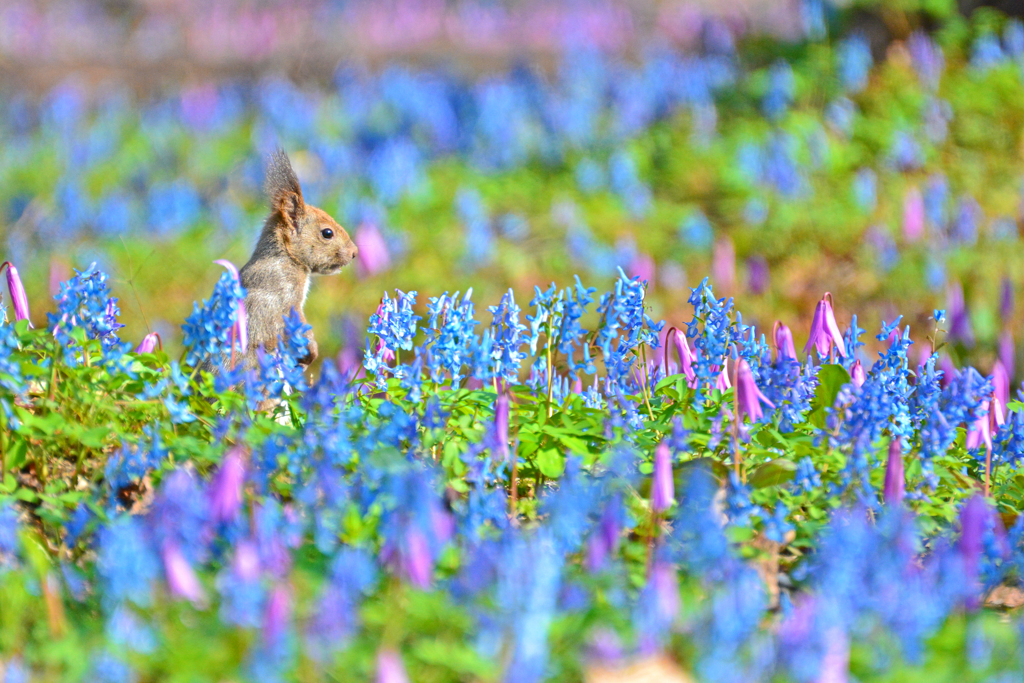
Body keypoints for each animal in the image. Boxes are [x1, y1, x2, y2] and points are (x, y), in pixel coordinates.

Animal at [238, 150, 358, 374]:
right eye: (327, 233)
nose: (355, 253)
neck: (286, 257)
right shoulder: (280, 291)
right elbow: (294, 322)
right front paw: (311, 351)